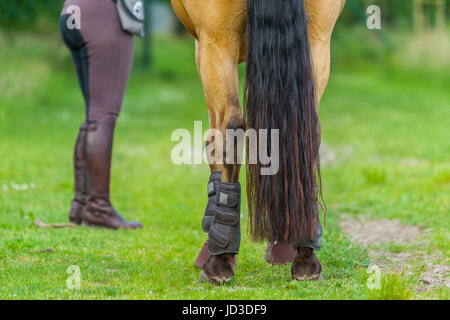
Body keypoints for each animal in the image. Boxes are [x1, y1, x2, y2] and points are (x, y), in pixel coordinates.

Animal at [171, 0, 346, 282]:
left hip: (218, 41)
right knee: (306, 128)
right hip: (319, 38)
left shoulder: (203, 47)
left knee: (230, 129)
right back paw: (306, 254)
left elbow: (213, 141)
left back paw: (218, 262)